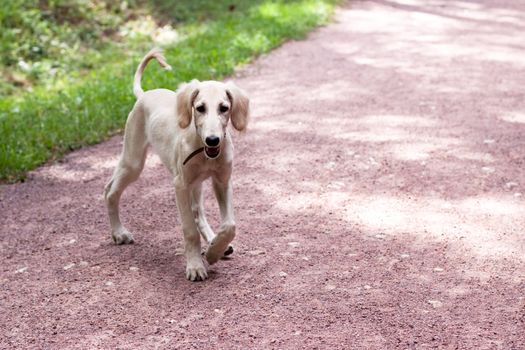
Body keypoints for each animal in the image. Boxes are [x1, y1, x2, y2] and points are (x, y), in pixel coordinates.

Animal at [105, 47, 250, 282]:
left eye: (224, 108)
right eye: (200, 108)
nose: (212, 140)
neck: (203, 149)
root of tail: (144, 95)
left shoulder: (222, 181)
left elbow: (230, 225)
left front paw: (214, 251)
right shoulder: (180, 185)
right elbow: (189, 229)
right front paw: (195, 266)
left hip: (195, 182)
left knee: (198, 211)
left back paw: (213, 241)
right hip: (133, 161)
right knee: (110, 190)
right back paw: (118, 233)